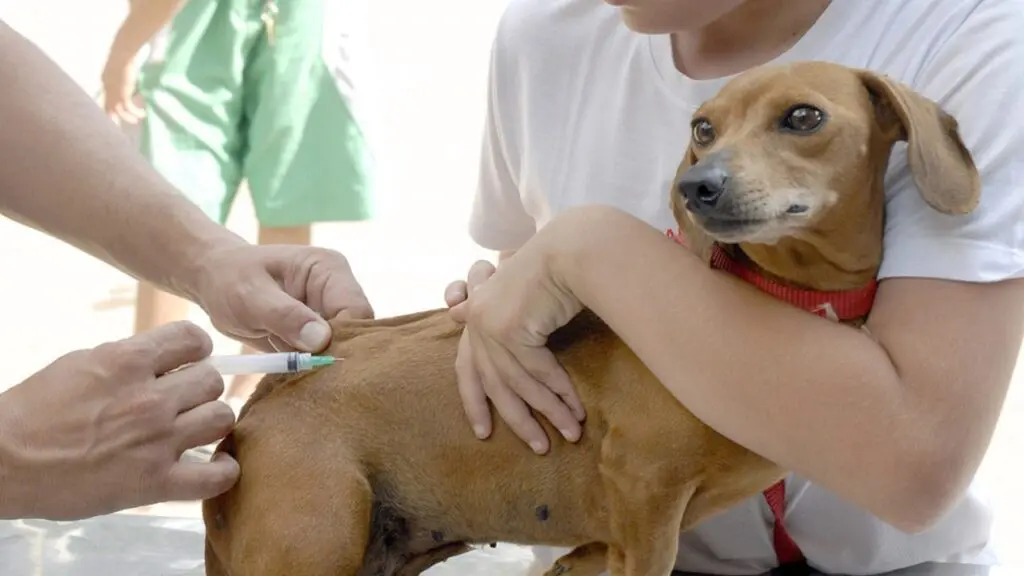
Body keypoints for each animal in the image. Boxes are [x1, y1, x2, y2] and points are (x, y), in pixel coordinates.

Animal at [201, 60, 983, 569]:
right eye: (703, 128)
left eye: (803, 117)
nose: (696, 187)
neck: (773, 298)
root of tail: (267, 393)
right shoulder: (645, 497)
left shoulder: (602, 546)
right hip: (313, 542)